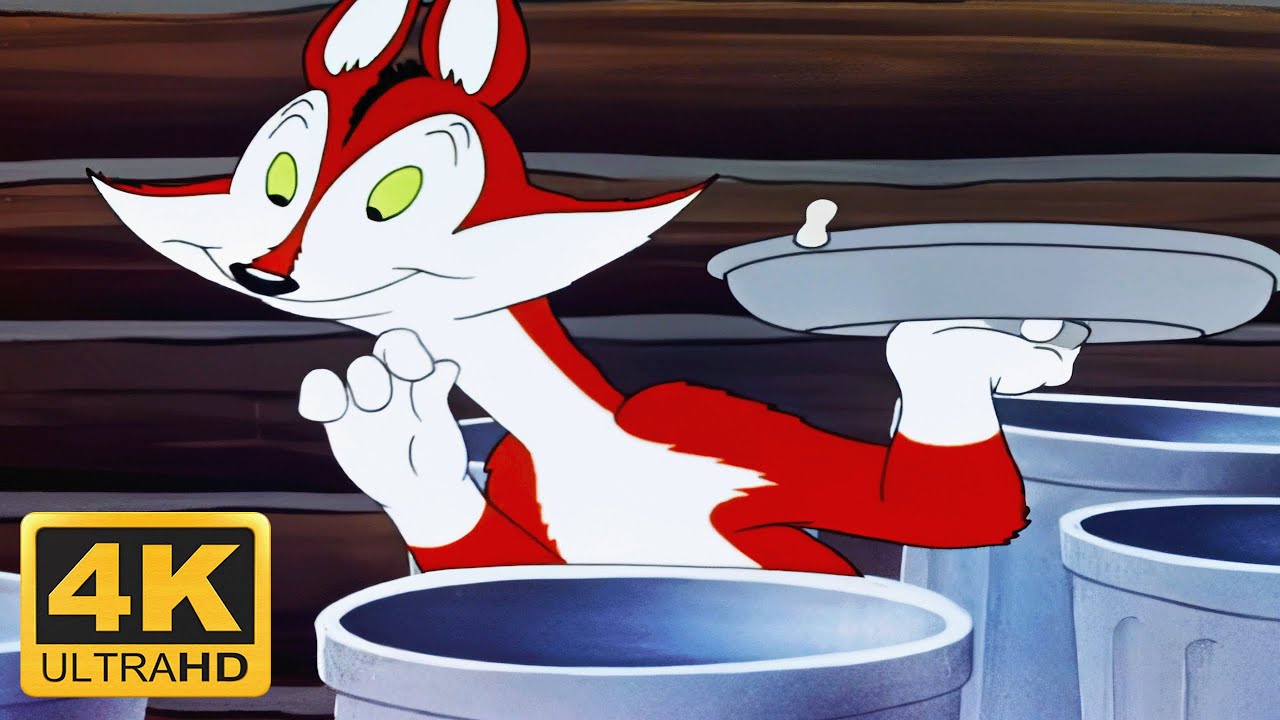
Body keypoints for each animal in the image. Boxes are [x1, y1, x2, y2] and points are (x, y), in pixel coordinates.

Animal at [90, 0, 1079, 575]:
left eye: (394, 195)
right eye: (280, 178)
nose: (265, 269)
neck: (576, 435)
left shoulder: (710, 423)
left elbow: (932, 510)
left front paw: (959, 343)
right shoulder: (517, 488)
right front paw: (404, 450)